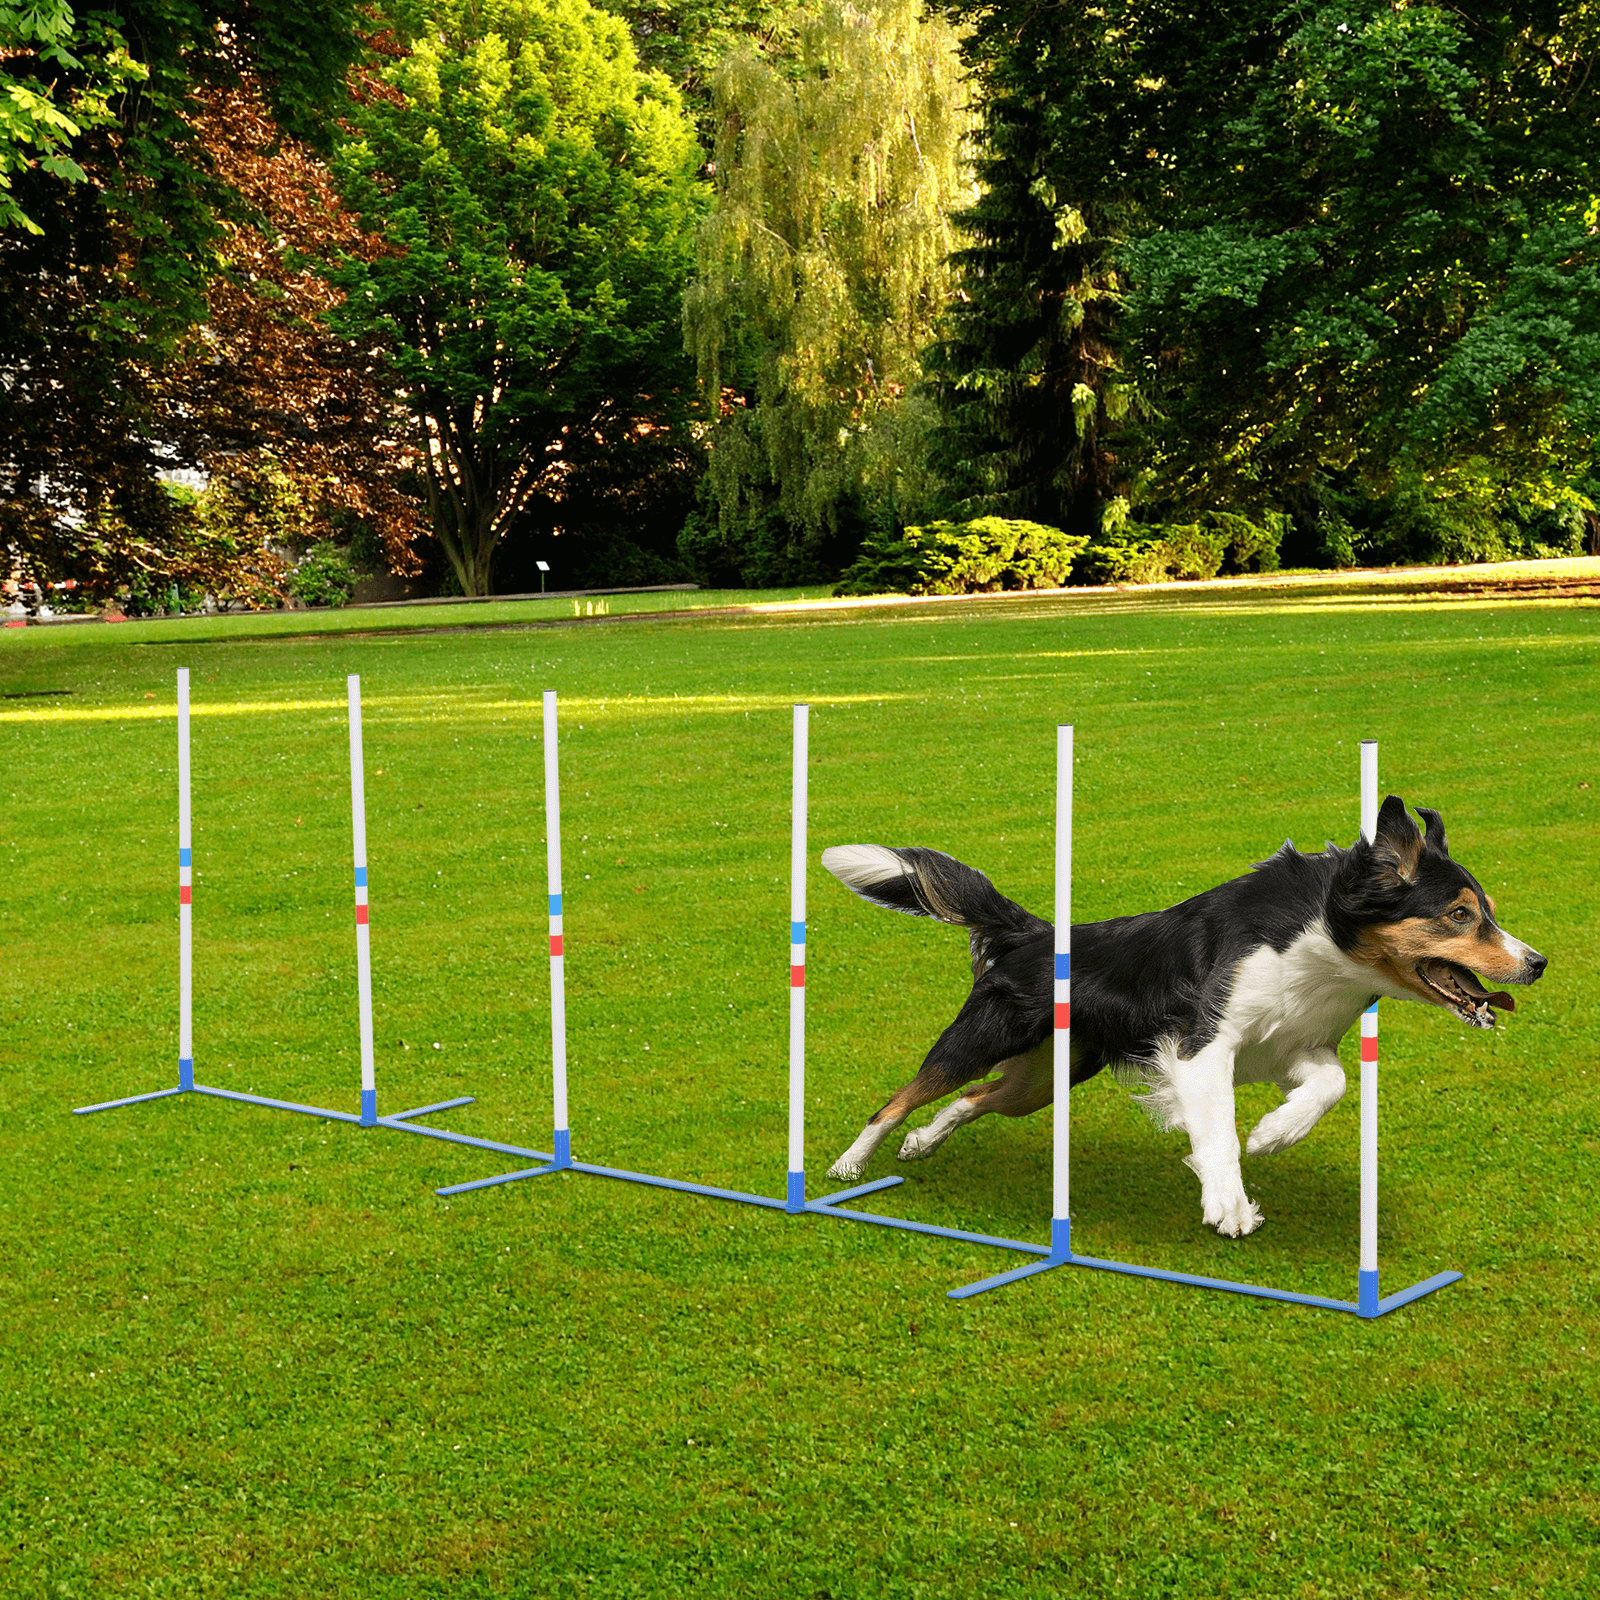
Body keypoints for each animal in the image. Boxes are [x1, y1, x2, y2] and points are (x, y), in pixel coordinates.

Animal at [819, 800, 1542, 1235]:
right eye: (1460, 915)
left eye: (1488, 912)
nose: (1535, 964)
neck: (1323, 939)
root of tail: (1033, 933)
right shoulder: (1202, 1045)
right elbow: (1215, 1129)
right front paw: (1229, 1202)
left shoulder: (1295, 1047)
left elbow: (1330, 1087)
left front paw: (1274, 1135)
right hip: (981, 1037)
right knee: (900, 1097)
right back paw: (848, 1168)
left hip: (1048, 1077)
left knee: (972, 1098)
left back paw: (922, 1143)